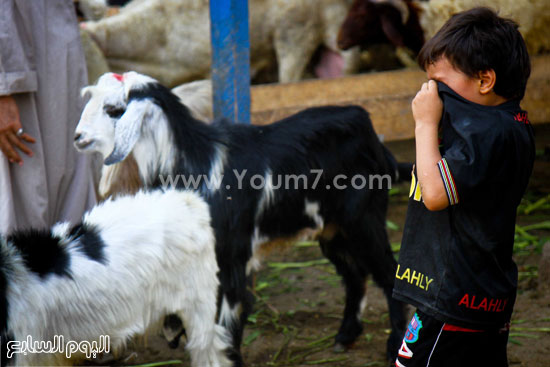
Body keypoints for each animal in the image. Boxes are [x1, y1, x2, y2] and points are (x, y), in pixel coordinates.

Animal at [73, 72, 410, 366]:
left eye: (114, 109)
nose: (78, 137)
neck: (198, 162)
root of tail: (369, 128)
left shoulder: (230, 258)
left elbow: (228, 321)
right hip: (332, 230)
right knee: (354, 275)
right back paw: (345, 336)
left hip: (364, 220)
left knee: (388, 274)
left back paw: (394, 344)